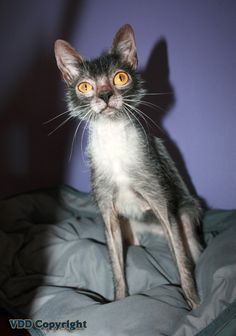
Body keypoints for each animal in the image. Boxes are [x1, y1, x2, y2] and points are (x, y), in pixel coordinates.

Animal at [54, 24, 203, 310]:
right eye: (84, 86)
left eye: (120, 78)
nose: (105, 96)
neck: (114, 141)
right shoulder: (107, 211)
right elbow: (116, 265)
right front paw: (119, 301)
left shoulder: (160, 200)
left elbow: (180, 259)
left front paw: (194, 304)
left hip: (187, 212)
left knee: (189, 244)